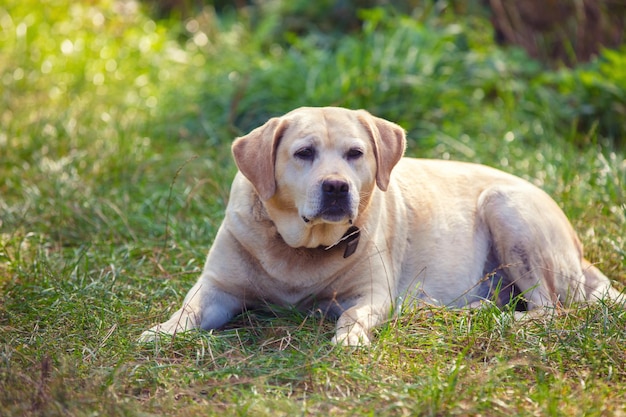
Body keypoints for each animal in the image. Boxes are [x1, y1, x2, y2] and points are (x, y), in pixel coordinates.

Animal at [141, 106, 620, 344]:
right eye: (303, 153)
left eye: (355, 153)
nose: (336, 187)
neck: (299, 249)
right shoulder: (216, 288)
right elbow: (187, 310)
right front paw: (160, 332)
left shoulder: (370, 294)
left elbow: (352, 316)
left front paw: (350, 339)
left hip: (506, 207)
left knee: (551, 310)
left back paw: (495, 318)